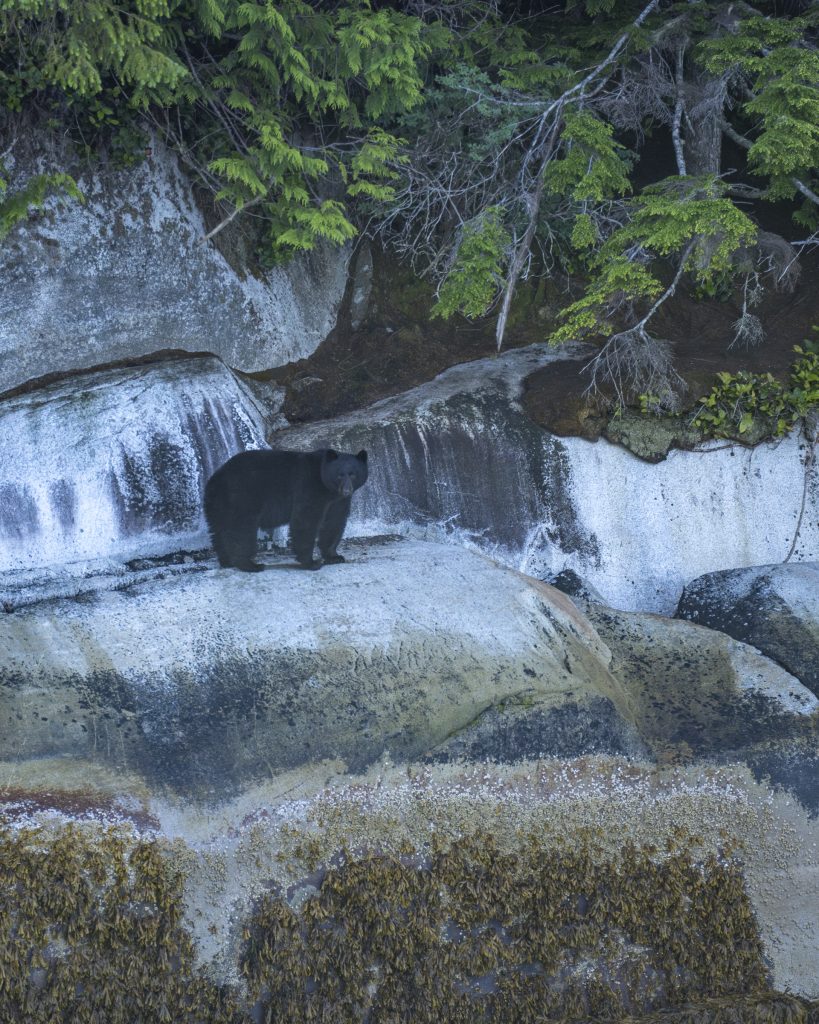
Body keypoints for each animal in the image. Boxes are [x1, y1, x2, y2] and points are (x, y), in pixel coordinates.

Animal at [204, 448, 368, 572]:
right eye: (340, 475)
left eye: (353, 474)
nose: (347, 490)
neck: (327, 487)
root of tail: (215, 479)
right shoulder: (309, 487)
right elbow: (306, 519)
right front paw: (311, 562)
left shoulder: (337, 501)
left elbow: (334, 522)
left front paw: (334, 556)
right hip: (242, 497)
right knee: (241, 530)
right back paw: (250, 564)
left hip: (218, 506)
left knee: (218, 531)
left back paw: (227, 561)